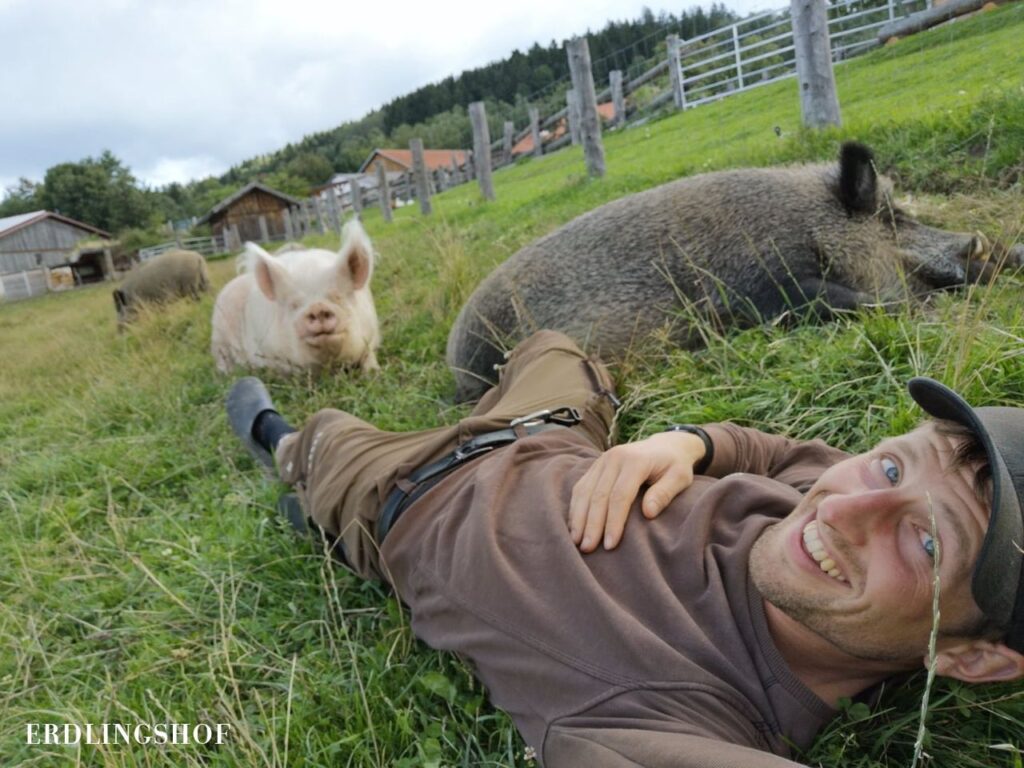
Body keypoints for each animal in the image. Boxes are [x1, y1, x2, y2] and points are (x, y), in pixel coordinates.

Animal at [210, 220, 380, 374]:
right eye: (294, 304)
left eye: (337, 297)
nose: (317, 307)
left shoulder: (372, 333)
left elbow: (369, 355)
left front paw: (373, 373)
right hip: (219, 334)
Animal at [447, 142, 1017, 402]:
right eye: (892, 217)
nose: (997, 247)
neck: (806, 227)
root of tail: (454, 351)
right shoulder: (751, 290)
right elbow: (842, 301)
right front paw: (913, 306)